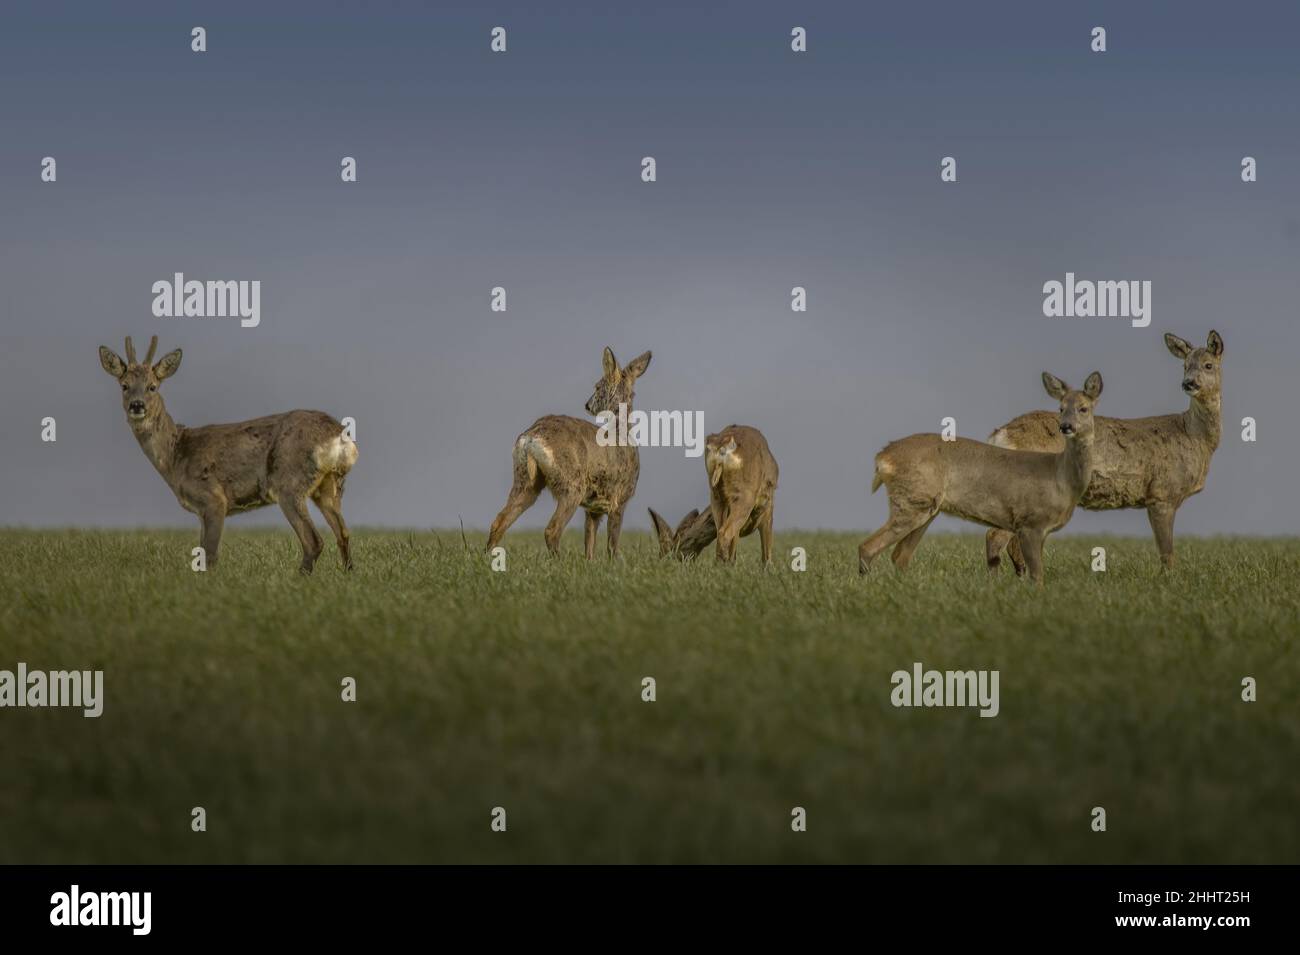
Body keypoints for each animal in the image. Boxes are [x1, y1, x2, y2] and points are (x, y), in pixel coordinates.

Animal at [96, 335, 358, 574]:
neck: (176, 455)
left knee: (314, 541)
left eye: (152, 386)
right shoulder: (201, 511)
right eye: (124, 385)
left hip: (289, 483)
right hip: (329, 486)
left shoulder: (213, 498)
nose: (137, 405)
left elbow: (210, 555)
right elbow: (202, 552)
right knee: (343, 533)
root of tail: (338, 434)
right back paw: (347, 574)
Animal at [486, 348, 655, 561]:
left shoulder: (593, 509)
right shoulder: (620, 499)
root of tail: (532, 436)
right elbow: (612, 546)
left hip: (526, 480)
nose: (587, 405)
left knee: (499, 521)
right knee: (551, 529)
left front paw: (590, 562)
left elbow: (589, 546)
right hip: (571, 484)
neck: (622, 433)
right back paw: (558, 560)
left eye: (597, 386)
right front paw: (616, 562)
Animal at [702, 428, 780, 566]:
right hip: (744, 498)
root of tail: (722, 448)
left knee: (721, 531)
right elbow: (766, 549)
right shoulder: (768, 509)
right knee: (724, 533)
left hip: (717, 497)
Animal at [857, 369, 1102, 587]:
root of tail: (883, 457)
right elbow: (1037, 577)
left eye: (1083, 408)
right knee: (867, 548)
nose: (1066, 426)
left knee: (899, 557)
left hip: (925, 508)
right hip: (912, 501)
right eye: (1061, 408)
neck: (1061, 478)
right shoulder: (1030, 523)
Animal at [987, 332, 1222, 571]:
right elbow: (1167, 553)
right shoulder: (1162, 494)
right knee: (996, 536)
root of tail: (1000, 433)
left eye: (1208, 365)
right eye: (1185, 365)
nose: (1188, 383)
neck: (1192, 434)